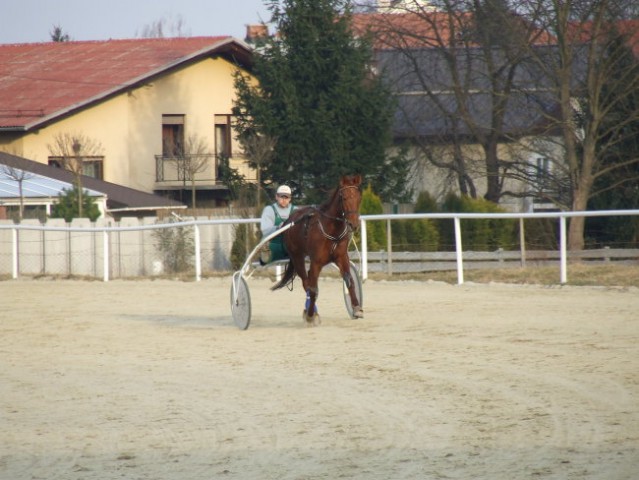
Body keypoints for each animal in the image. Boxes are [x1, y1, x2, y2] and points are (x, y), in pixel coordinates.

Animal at [272, 173, 364, 326]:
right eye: (344, 198)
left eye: (358, 197)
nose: (354, 224)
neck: (331, 229)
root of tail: (289, 221)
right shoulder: (316, 261)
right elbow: (313, 289)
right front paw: (310, 315)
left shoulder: (341, 257)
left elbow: (349, 279)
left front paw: (356, 308)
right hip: (297, 257)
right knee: (306, 283)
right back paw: (311, 311)